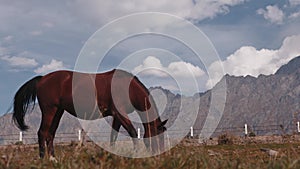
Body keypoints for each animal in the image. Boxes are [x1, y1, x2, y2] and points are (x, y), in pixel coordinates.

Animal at [12, 68, 166, 158]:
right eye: (158, 136)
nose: (159, 155)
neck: (126, 87)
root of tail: (42, 78)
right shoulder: (120, 114)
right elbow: (133, 132)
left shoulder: (117, 116)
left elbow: (113, 136)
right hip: (50, 110)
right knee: (42, 133)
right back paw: (43, 159)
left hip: (58, 111)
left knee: (50, 134)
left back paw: (53, 159)